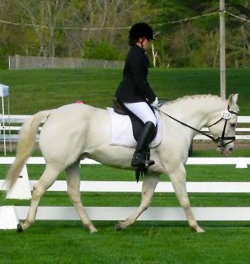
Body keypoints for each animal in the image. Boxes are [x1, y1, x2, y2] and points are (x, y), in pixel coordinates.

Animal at [6, 93, 238, 233]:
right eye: (234, 123)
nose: (228, 149)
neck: (177, 124)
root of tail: (53, 113)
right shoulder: (176, 170)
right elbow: (184, 200)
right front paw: (196, 227)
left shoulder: (154, 172)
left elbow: (145, 201)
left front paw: (123, 224)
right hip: (56, 165)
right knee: (38, 189)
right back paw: (25, 224)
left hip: (72, 163)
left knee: (74, 193)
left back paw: (91, 227)